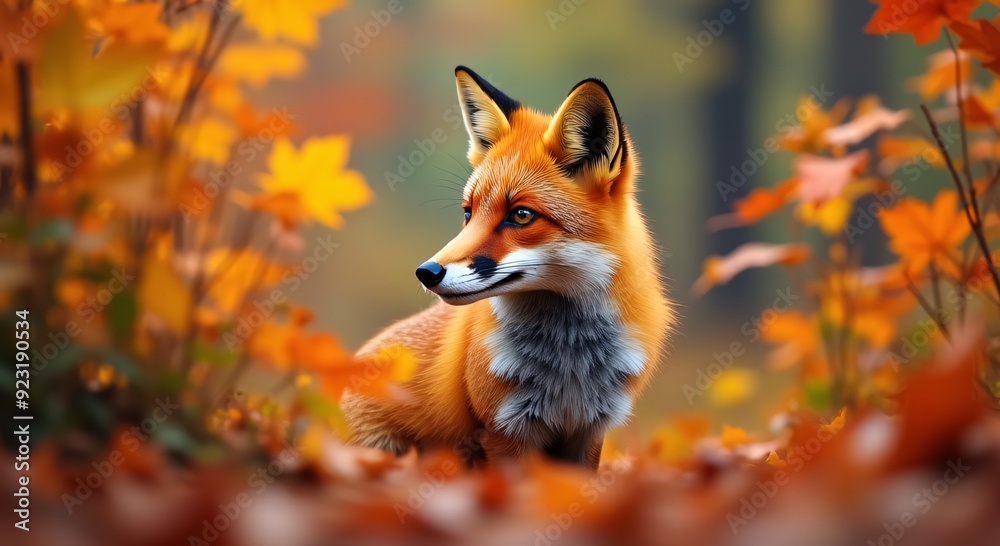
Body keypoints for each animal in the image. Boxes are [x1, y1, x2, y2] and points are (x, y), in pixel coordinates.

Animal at [342, 66, 674, 468]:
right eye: (468, 213)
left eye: (521, 215)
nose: (426, 272)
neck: (569, 359)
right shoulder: (505, 430)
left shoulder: (589, 431)